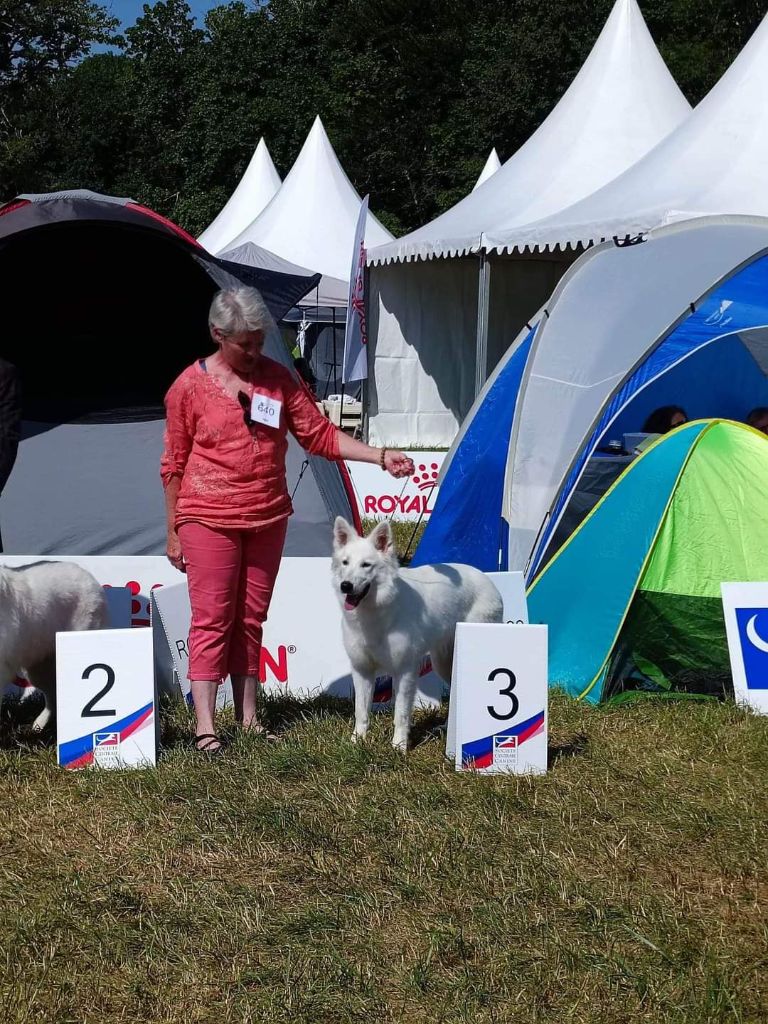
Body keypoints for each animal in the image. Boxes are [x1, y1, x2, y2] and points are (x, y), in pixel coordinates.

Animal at [331, 516, 505, 749]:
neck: (377, 612)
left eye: (366, 565)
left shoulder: (404, 672)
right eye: (345, 563)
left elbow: (401, 713)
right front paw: (357, 741)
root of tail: (487, 579)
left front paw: (399, 746)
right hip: (443, 662)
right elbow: (361, 711)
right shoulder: (362, 670)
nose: (346, 586)